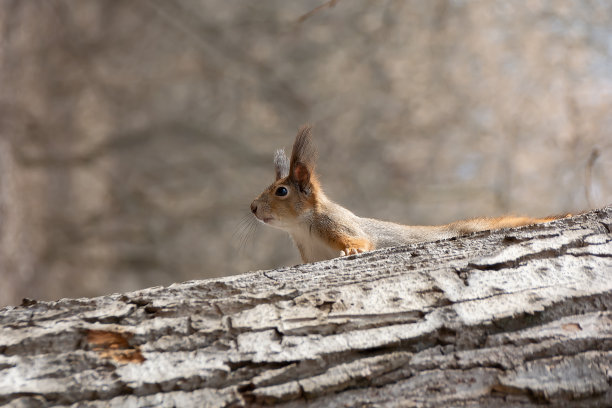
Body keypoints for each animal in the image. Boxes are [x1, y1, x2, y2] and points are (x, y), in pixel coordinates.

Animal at [249, 125, 568, 264]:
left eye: (281, 191)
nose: (252, 207)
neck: (301, 228)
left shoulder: (336, 224)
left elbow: (360, 241)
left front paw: (352, 251)